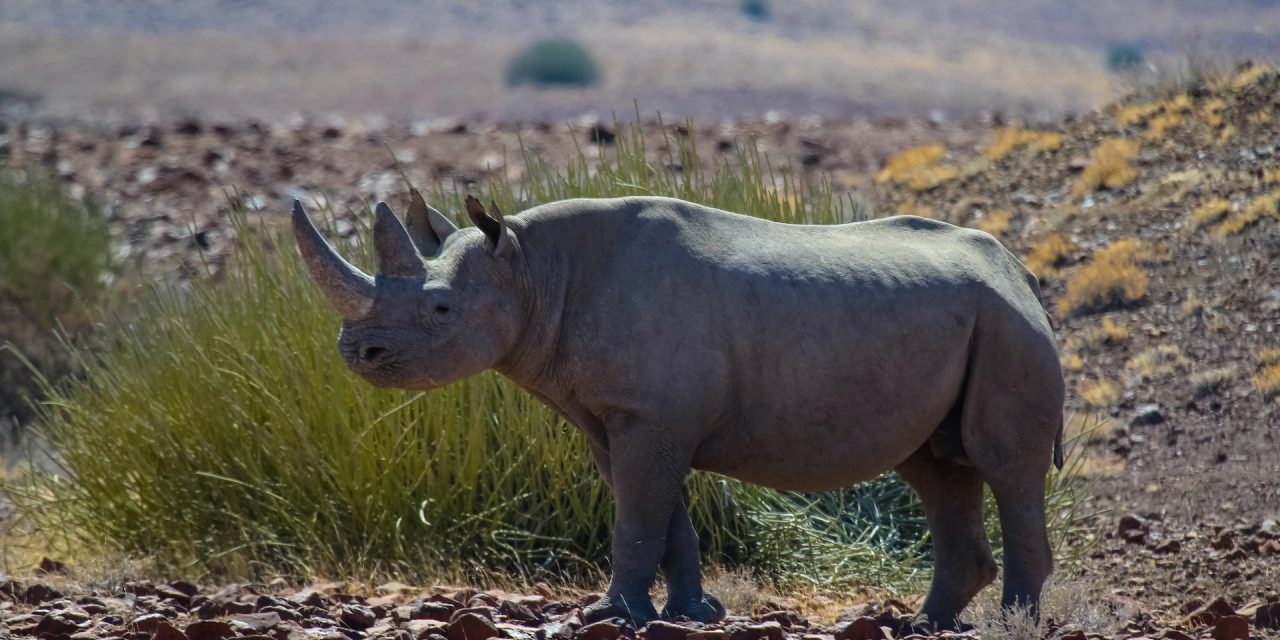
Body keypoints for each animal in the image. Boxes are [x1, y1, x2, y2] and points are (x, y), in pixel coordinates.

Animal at [292, 192, 1065, 629]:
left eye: (441, 310)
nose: (357, 351)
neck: (534, 270)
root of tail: (1022, 273)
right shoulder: (621, 417)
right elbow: (662, 516)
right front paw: (694, 613)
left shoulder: (649, 417)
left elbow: (638, 514)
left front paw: (609, 614)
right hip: (972, 322)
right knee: (936, 470)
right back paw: (923, 626)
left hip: (1008, 325)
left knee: (1005, 467)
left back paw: (1012, 625)